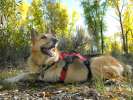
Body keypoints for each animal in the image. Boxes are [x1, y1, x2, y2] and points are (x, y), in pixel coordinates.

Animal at [2, 30, 132, 83]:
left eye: (52, 36)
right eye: (43, 37)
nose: (56, 40)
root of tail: (120, 62)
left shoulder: (44, 77)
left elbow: (25, 74)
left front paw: (8, 79)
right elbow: (25, 73)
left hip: (94, 62)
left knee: (121, 77)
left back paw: (111, 81)